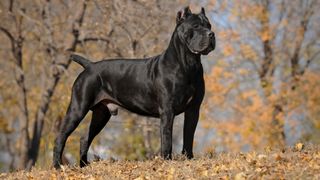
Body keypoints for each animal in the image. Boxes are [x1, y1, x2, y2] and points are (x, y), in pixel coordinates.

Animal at [53, 5, 215, 169]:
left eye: (209, 25)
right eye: (196, 26)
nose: (211, 34)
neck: (189, 64)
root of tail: (90, 65)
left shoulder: (193, 109)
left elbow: (189, 136)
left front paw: (189, 159)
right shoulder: (167, 111)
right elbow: (167, 139)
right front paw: (167, 161)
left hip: (101, 113)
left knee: (85, 138)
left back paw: (84, 166)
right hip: (78, 108)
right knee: (60, 137)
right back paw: (57, 166)